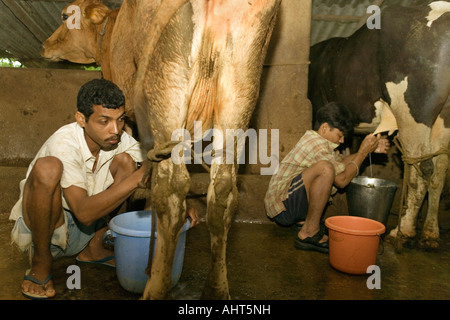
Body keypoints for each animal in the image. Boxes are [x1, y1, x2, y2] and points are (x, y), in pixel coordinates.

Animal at [42, 0, 282, 300]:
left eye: (66, 15)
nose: (45, 44)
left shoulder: (125, 110)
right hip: (240, 86)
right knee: (223, 191)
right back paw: (216, 290)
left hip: (166, 78)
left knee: (171, 188)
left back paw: (155, 287)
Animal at [310, 1, 450, 249]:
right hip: (443, 118)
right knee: (440, 169)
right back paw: (430, 233)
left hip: (413, 109)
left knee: (420, 167)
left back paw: (403, 231)